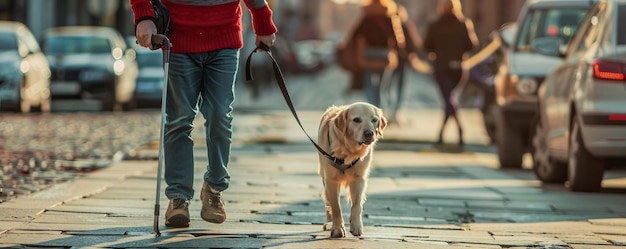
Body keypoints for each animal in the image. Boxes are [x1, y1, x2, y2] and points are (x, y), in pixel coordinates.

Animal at [316, 101, 386, 237]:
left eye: (374, 120)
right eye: (356, 120)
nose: (369, 133)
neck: (349, 150)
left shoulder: (359, 179)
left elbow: (357, 205)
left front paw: (356, 226)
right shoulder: (331, 180)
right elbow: (336, 207)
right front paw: (337, 229)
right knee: (328, 201)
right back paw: (329, 221)